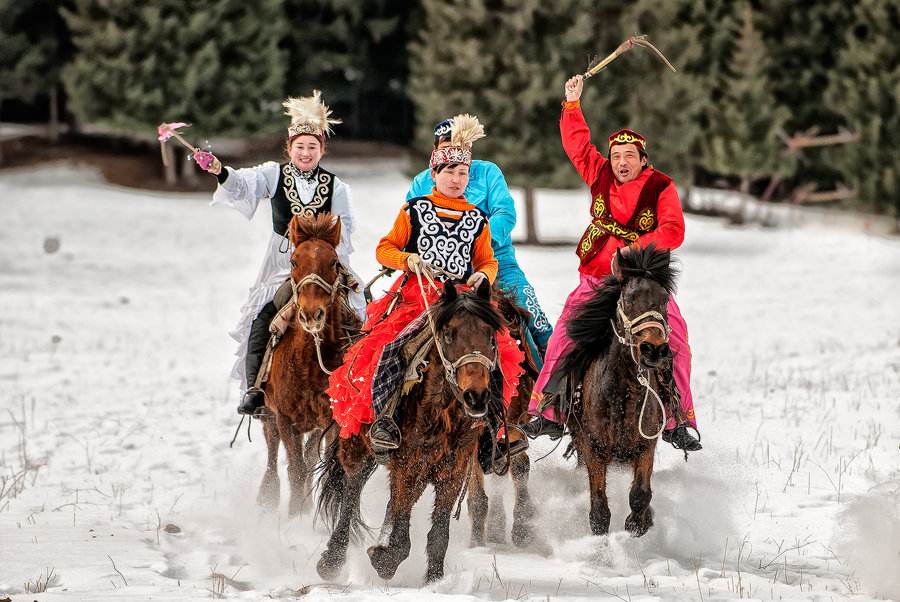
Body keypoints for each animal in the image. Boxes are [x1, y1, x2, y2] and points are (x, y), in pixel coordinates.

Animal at [255, 213, 360, 512]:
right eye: (293, 261)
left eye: (334, 262)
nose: (312, 314)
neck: (308, 363)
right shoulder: (285, 419)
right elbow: (296, 470)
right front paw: (294, 516)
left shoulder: (331, 421)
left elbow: (315, 465)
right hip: (269, 415)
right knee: (272, 454)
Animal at [316, 278, 512, 584]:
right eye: (448, 335)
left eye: (491, 337)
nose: (476, 397)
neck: (443, 413)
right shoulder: (408, 466)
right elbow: (400, 530)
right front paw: (383, 559)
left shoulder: (453, 470)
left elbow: (439, 534)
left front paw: (434, 580)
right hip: (358, 445)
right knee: (351, 489)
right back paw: (331, 560)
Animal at [560, 244, 680, 536]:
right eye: (627, 299)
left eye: (664, 300)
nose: (653, 350)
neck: (622, 393)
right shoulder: (593, 447)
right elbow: (599, 510)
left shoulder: (645, 445)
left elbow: (640, 494)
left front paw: (638, 523)